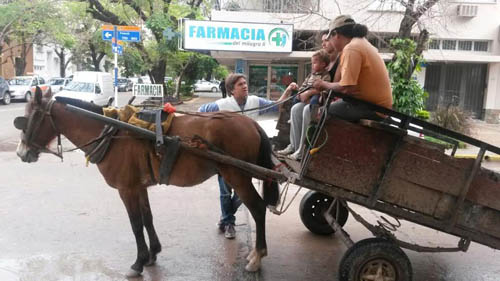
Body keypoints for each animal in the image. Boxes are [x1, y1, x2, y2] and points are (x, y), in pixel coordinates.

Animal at [14, 87, 282, 276]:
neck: (110, 132)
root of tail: (251, 122)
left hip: (237, 175)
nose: (21, 152)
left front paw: (138, 262)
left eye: (31, 118)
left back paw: (257, 256)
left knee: (258, 208)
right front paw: (153, 253)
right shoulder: (139, 186)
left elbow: (135, 224)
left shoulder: (126, 189)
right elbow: (147, 218)